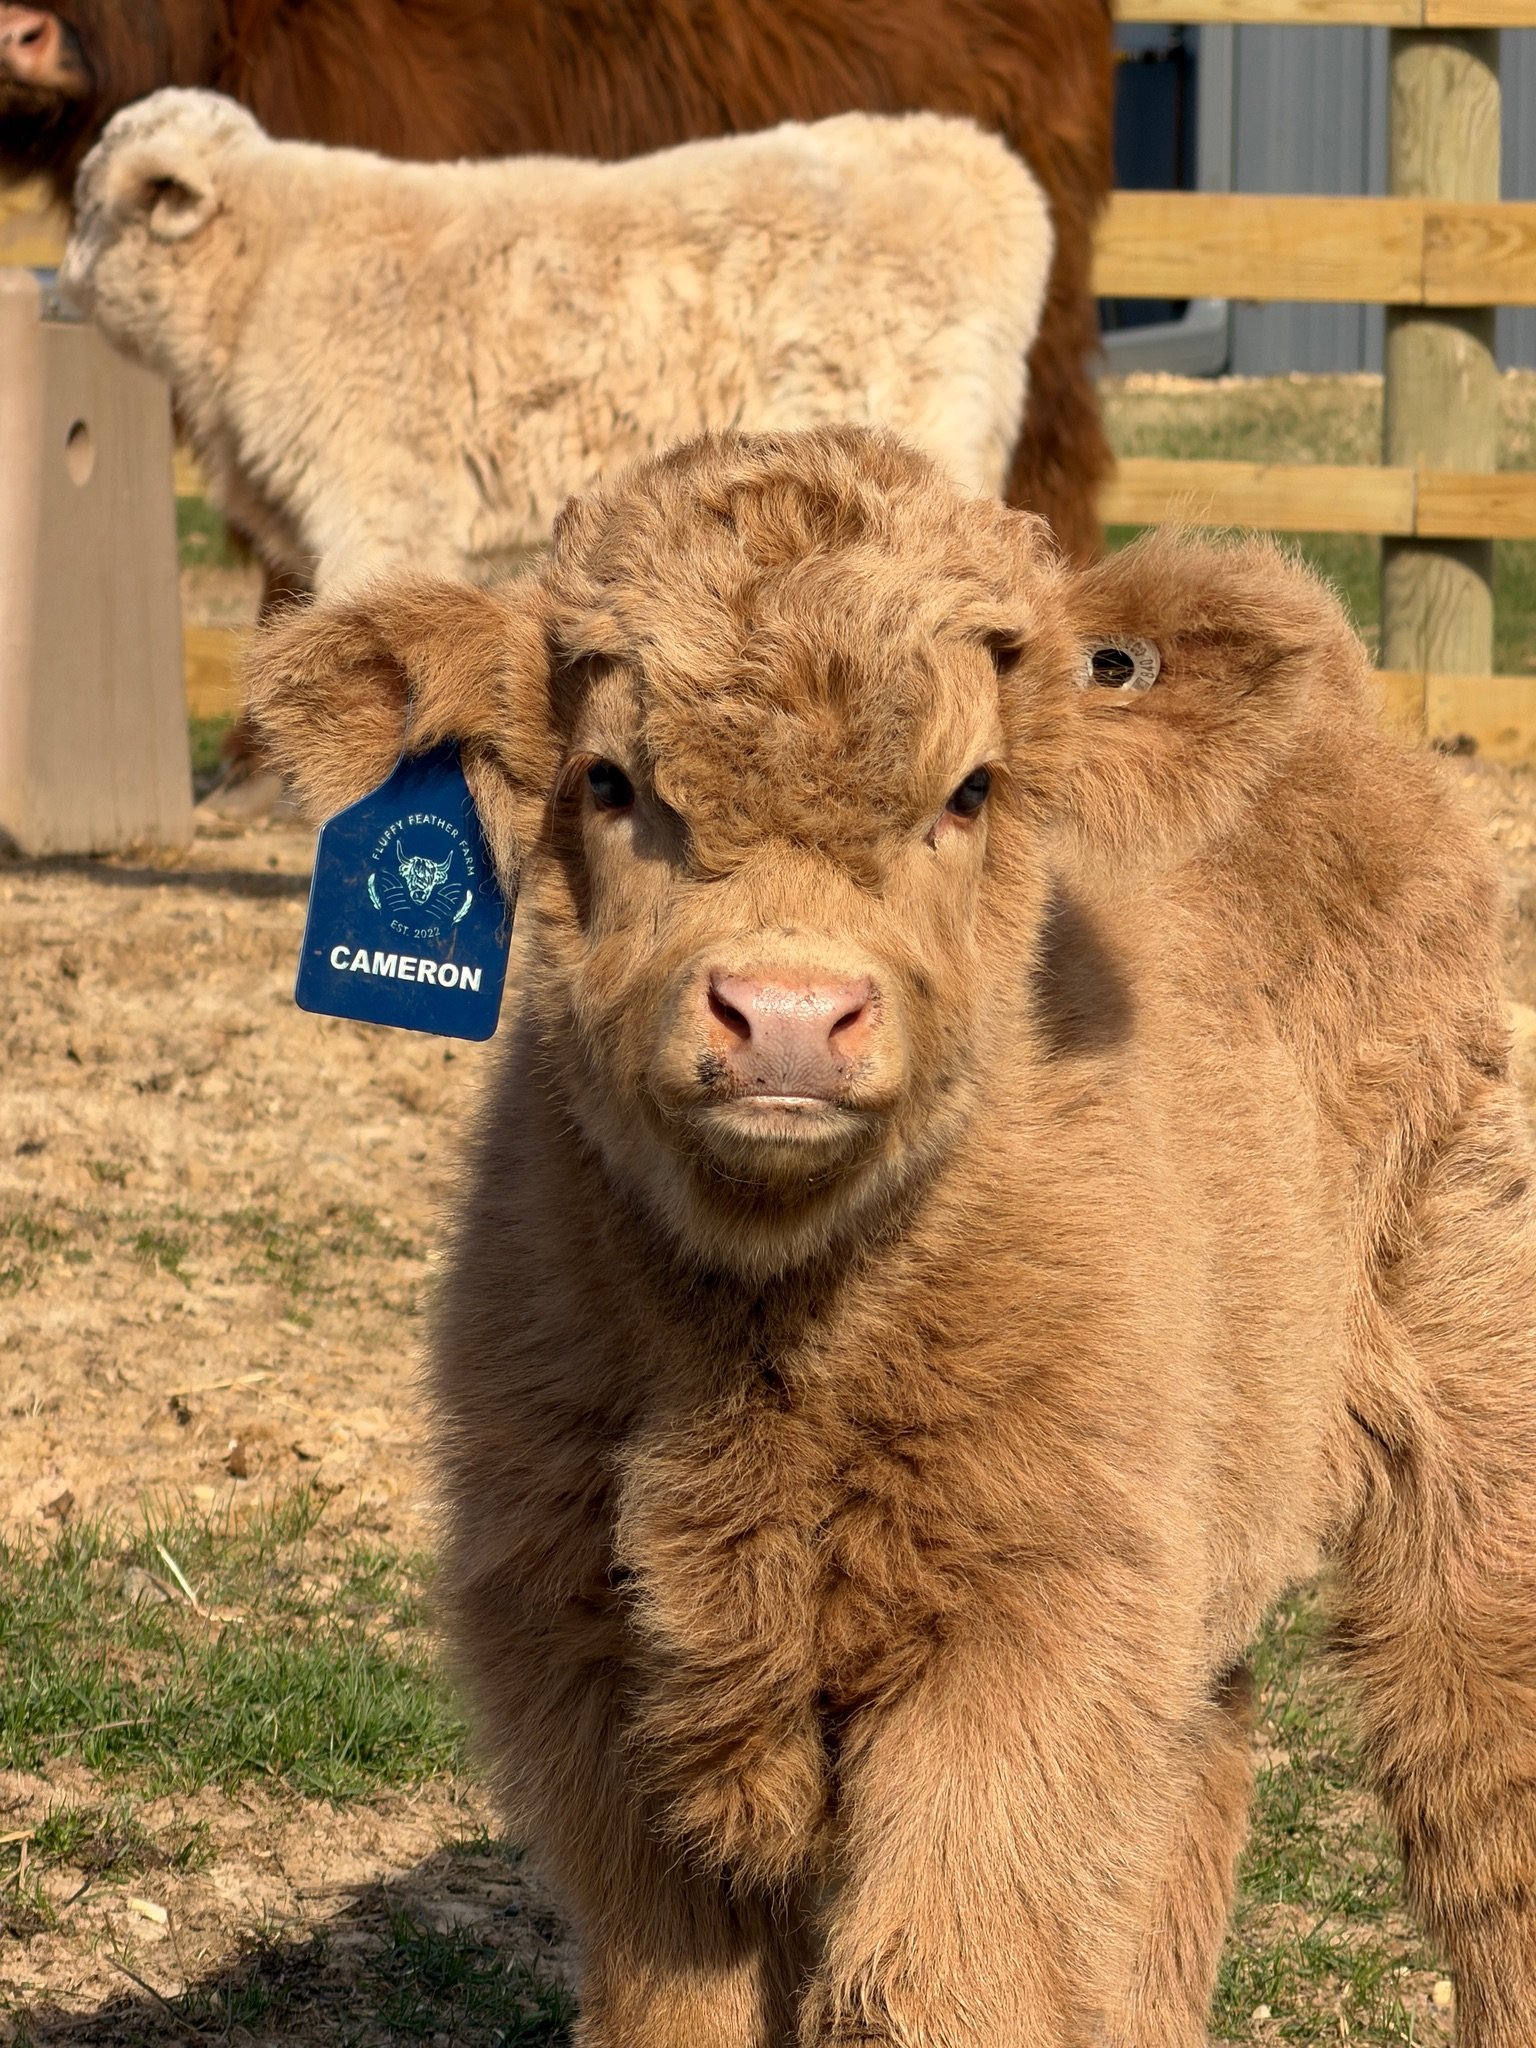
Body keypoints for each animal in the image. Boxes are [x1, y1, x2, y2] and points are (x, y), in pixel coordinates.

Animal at [244, 422, 1536, 2046]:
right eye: (609, 781)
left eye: (970, 792)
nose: (790, 1012)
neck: (765, 1358)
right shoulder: (592, 1676)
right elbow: (682, 2008)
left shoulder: (1025, 1655)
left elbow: (945, 1980)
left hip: (1472, 1458)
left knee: (1484, 1792)